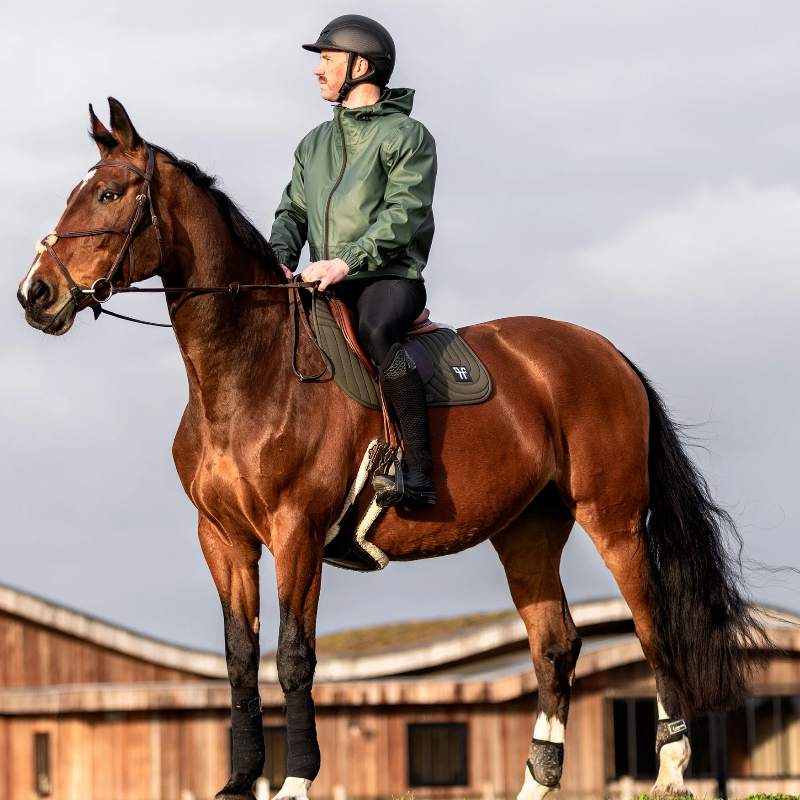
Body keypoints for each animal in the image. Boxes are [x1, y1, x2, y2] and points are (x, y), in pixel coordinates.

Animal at [18, 98, 769, 800]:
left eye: (109, 195)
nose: (35, 293)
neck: (249, 370)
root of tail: (606, 351)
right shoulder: (222, 538)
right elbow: (239, 658)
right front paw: (239, 781)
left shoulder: (296, 532)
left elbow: (294, 656)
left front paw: (296, 779)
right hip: (527, 531)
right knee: (555, 645)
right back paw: (537, 782)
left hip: (612, 521)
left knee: (651, 629)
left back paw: (670, 771)